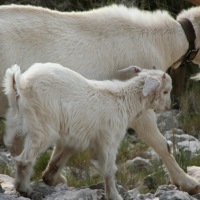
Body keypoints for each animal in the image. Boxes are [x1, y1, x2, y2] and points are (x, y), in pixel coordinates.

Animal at [1, 3, 200, 194]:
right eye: (166, 91)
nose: (169, 105)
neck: (158, 42)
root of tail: (18, 83)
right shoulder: (139, 108)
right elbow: (161, 144)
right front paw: (187, 183)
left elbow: (69, 144)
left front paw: (52, 176)